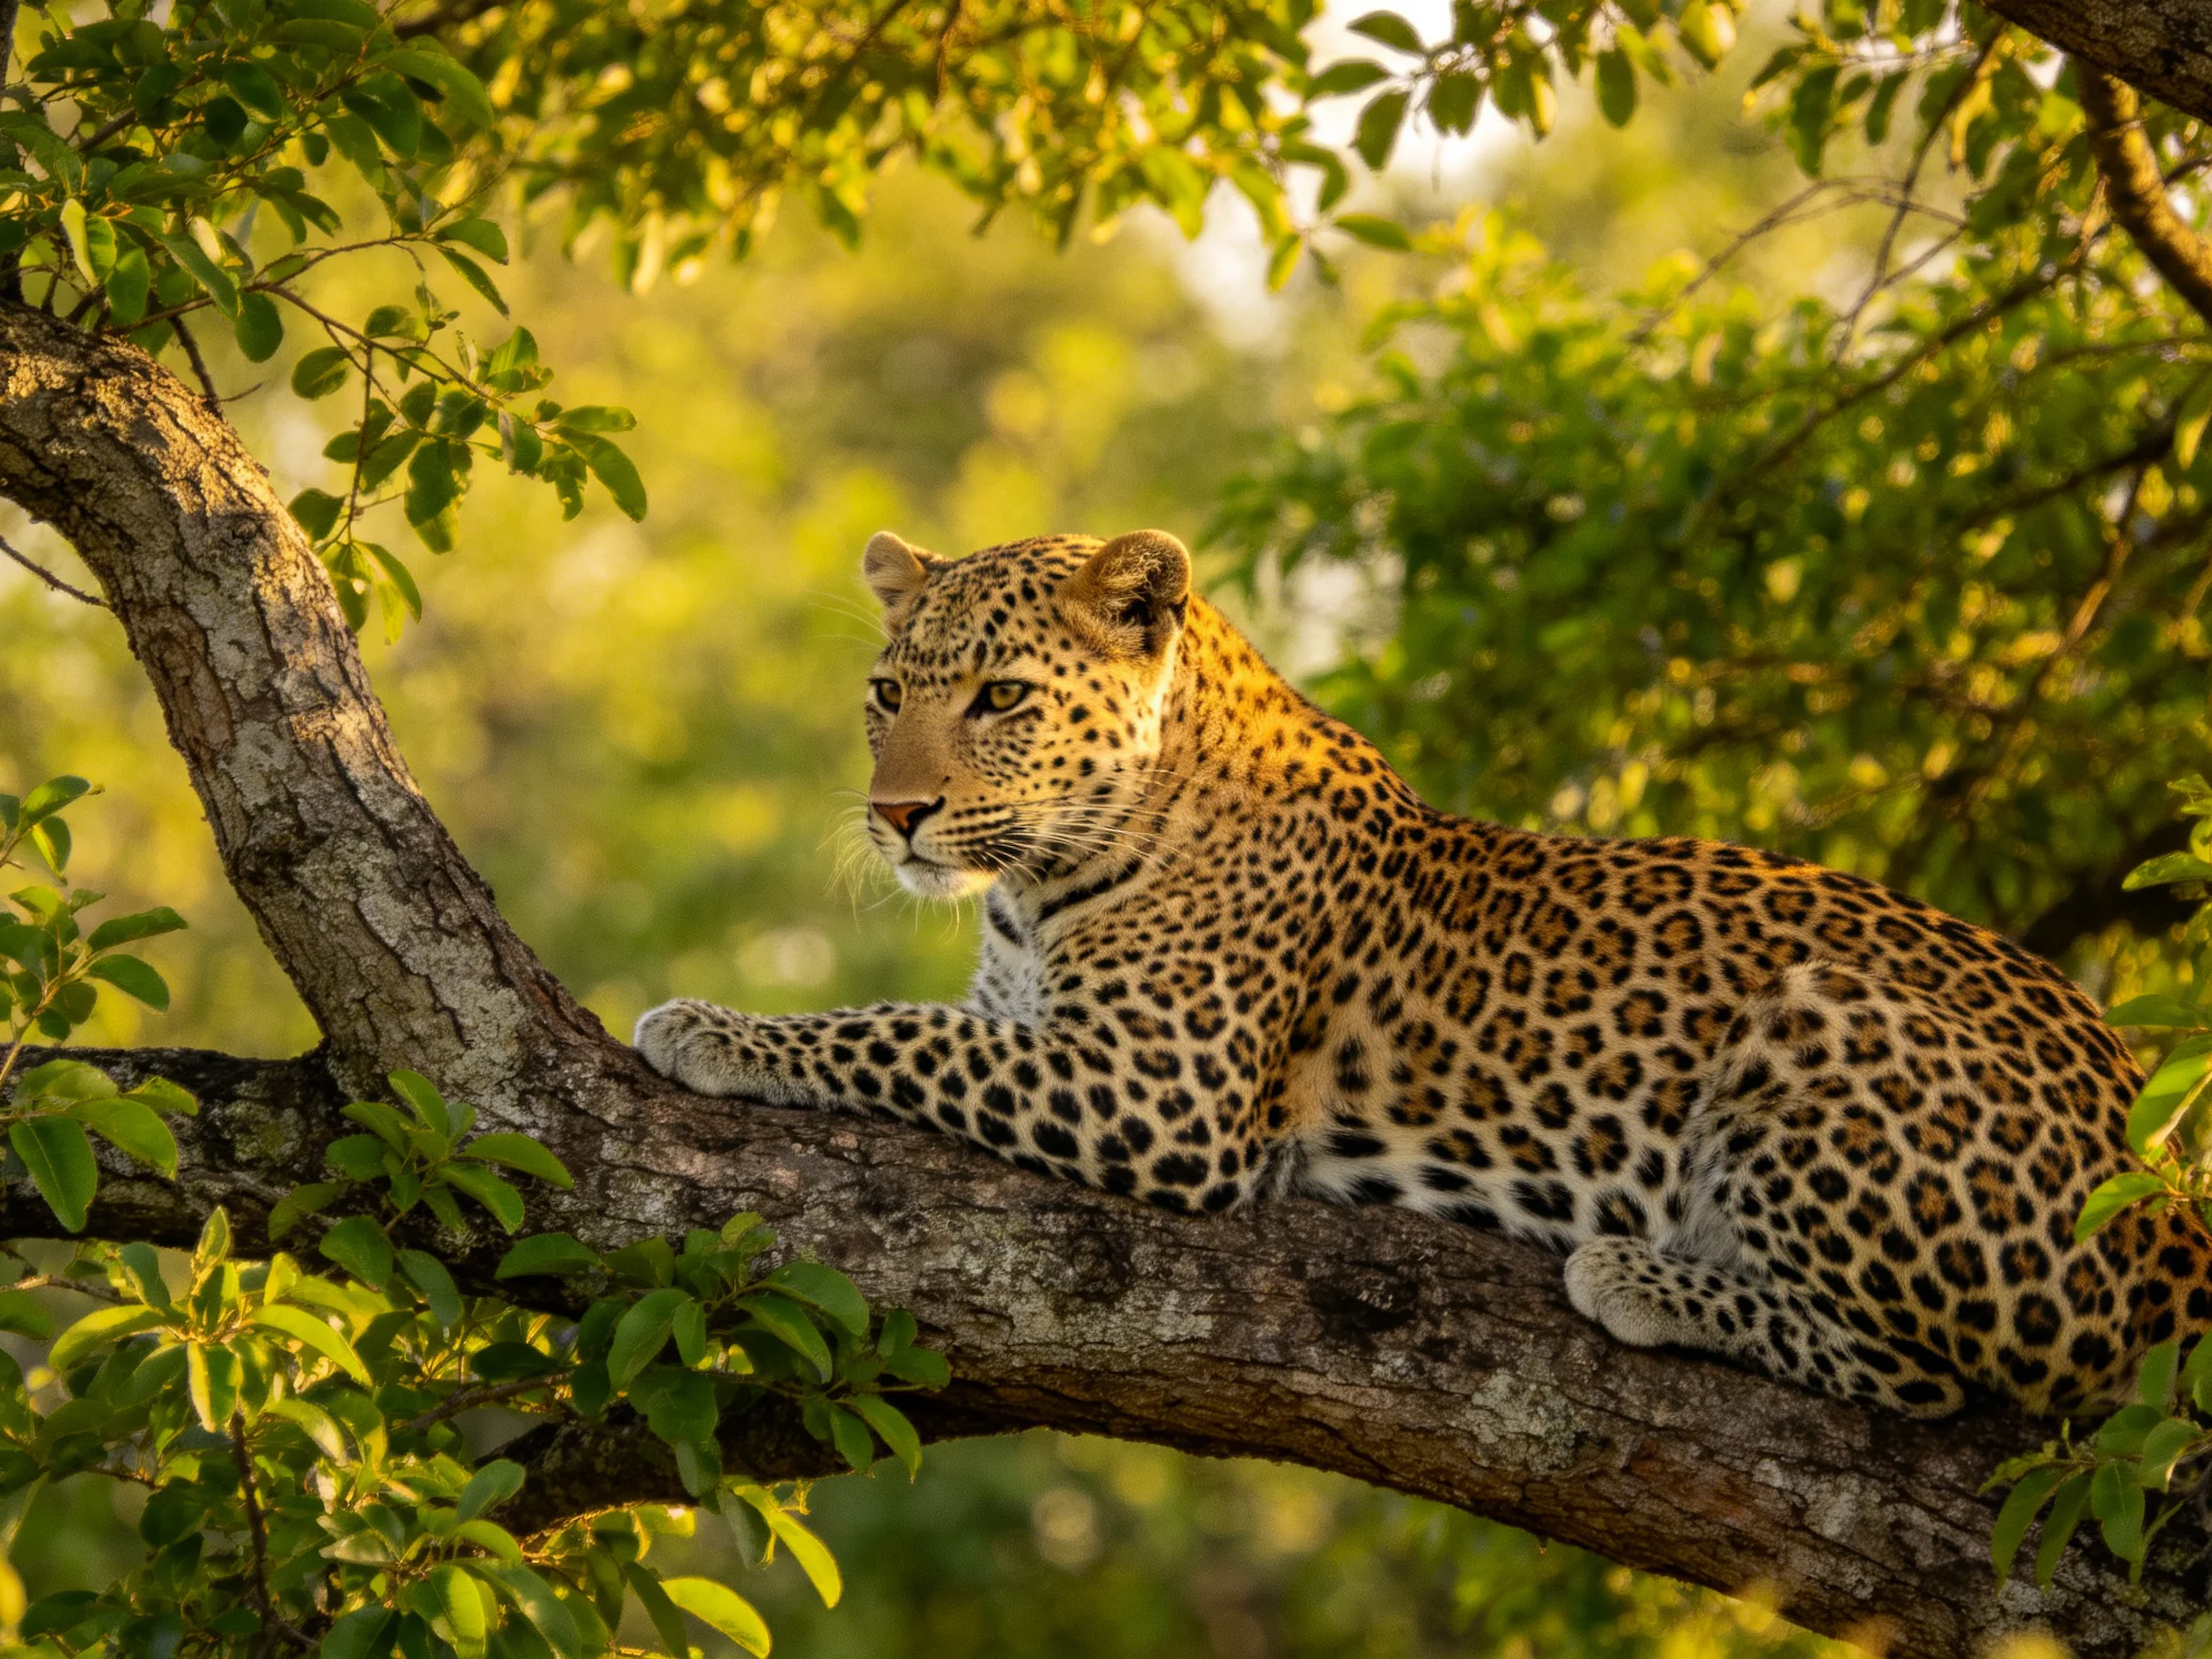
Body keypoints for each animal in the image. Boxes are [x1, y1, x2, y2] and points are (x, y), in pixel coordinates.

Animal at [635, 527, 2212, 1418]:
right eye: (888, 694)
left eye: (1002, 698)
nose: (895, 814)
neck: (1038, 882)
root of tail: (2166, 1179)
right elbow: (931, 1025)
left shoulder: (1159, 1093)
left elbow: (895, 1032)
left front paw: (710, 1025)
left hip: (1824, 1020)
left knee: (1950, 1383)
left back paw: (1644, 1275)